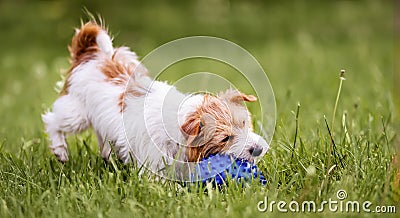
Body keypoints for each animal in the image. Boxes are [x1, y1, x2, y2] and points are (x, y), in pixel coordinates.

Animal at [42, 21, 268, 175]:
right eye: (225, 138)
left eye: (245, 123)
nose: (258, 149)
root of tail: (94, 57)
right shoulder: (155, 163)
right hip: (76, 114)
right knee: (52, 121)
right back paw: (61, 151)